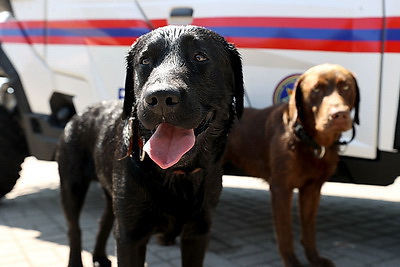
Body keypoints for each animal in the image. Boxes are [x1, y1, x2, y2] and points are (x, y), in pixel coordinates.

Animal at [56, 25, 244, 267]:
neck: (175, 174)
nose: (161, 97)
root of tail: (80, 113)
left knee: (104, 220)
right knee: (74, 230)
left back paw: (99, 256)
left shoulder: (198, 231)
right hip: (72, 185)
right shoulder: (130, 236)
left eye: (200, 56)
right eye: (144, 60)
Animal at [225, 63, 360, 266]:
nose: (339, 114)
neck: (307, 139)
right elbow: (285, 231)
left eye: (345, 86)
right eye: (316, 89)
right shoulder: (281, 188)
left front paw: (314, 258)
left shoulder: (313, 189)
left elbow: (309, 230)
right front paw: (292, 261)